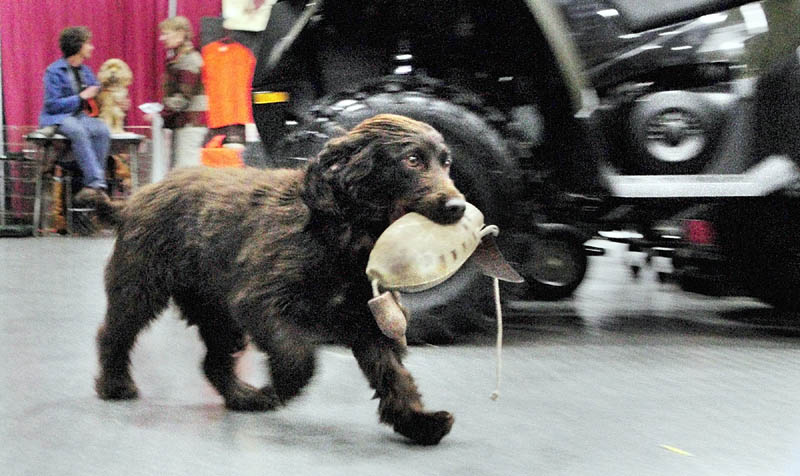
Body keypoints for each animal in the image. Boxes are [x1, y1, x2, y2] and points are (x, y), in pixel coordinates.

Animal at [93, 114, 466, 445]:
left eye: (446, 162)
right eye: (412, 160)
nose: (458, 206)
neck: (345, 233)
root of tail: (135, 198)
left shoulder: (367, 322)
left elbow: (394, 377)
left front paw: (418, 422)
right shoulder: (260, 302)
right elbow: (299, 358)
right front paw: (279, 387)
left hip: (216, 313)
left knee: (213, 362)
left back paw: (242, 397)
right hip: (139, 290)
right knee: (113, 335)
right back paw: (115, 384)